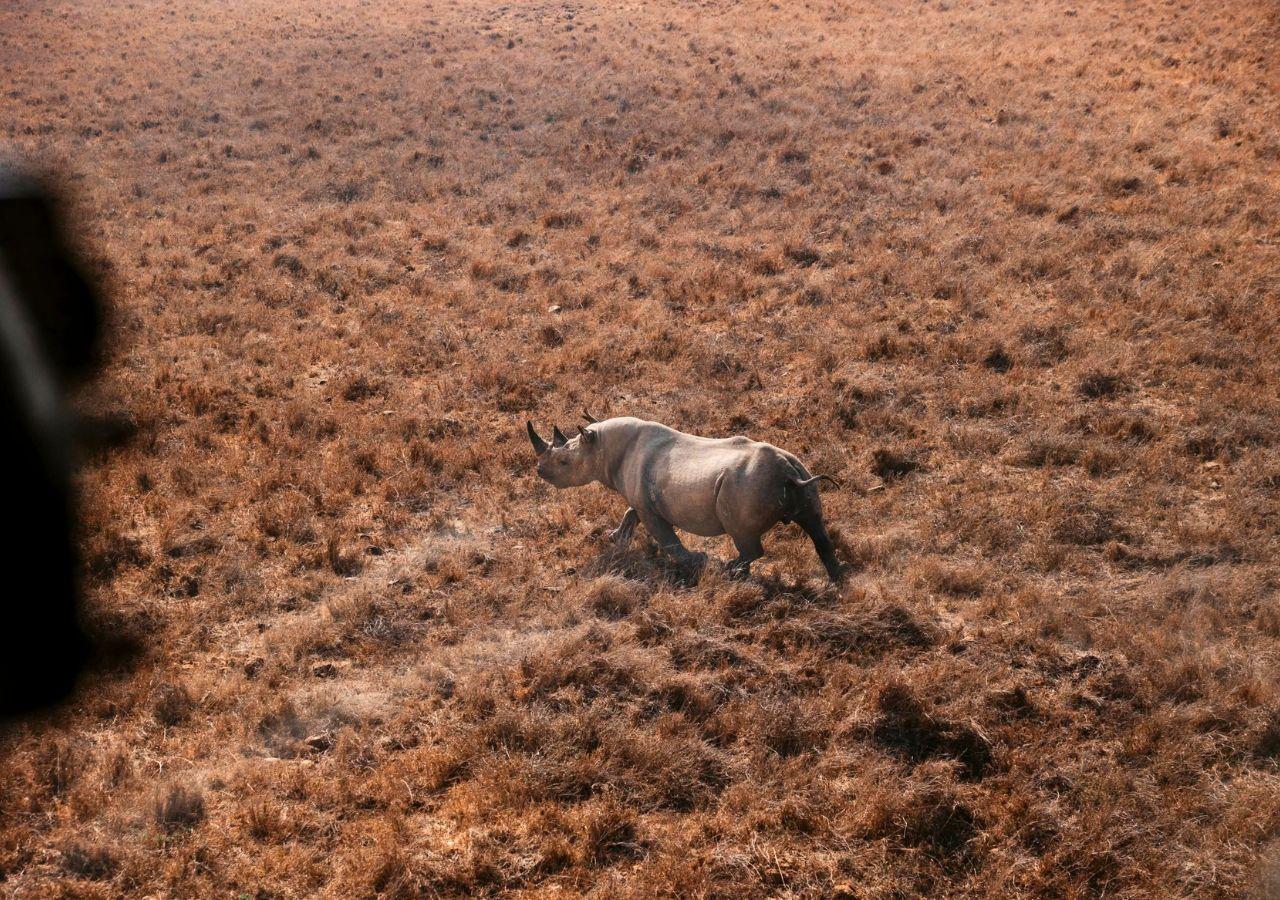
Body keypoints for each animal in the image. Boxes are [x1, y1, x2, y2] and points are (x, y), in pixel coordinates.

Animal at [527, 412, 845, 581]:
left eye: (564, 463)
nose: (540, 470)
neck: (602, 447)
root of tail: (788, 472)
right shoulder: (640, 499)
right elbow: (631, 513)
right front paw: (616, 539)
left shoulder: (649, 507)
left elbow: (666, 538)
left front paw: (698, 560)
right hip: (799, 472)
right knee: (815, 525)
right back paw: (836, 581)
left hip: (744, 485)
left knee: (744, 537)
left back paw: (729, 570)